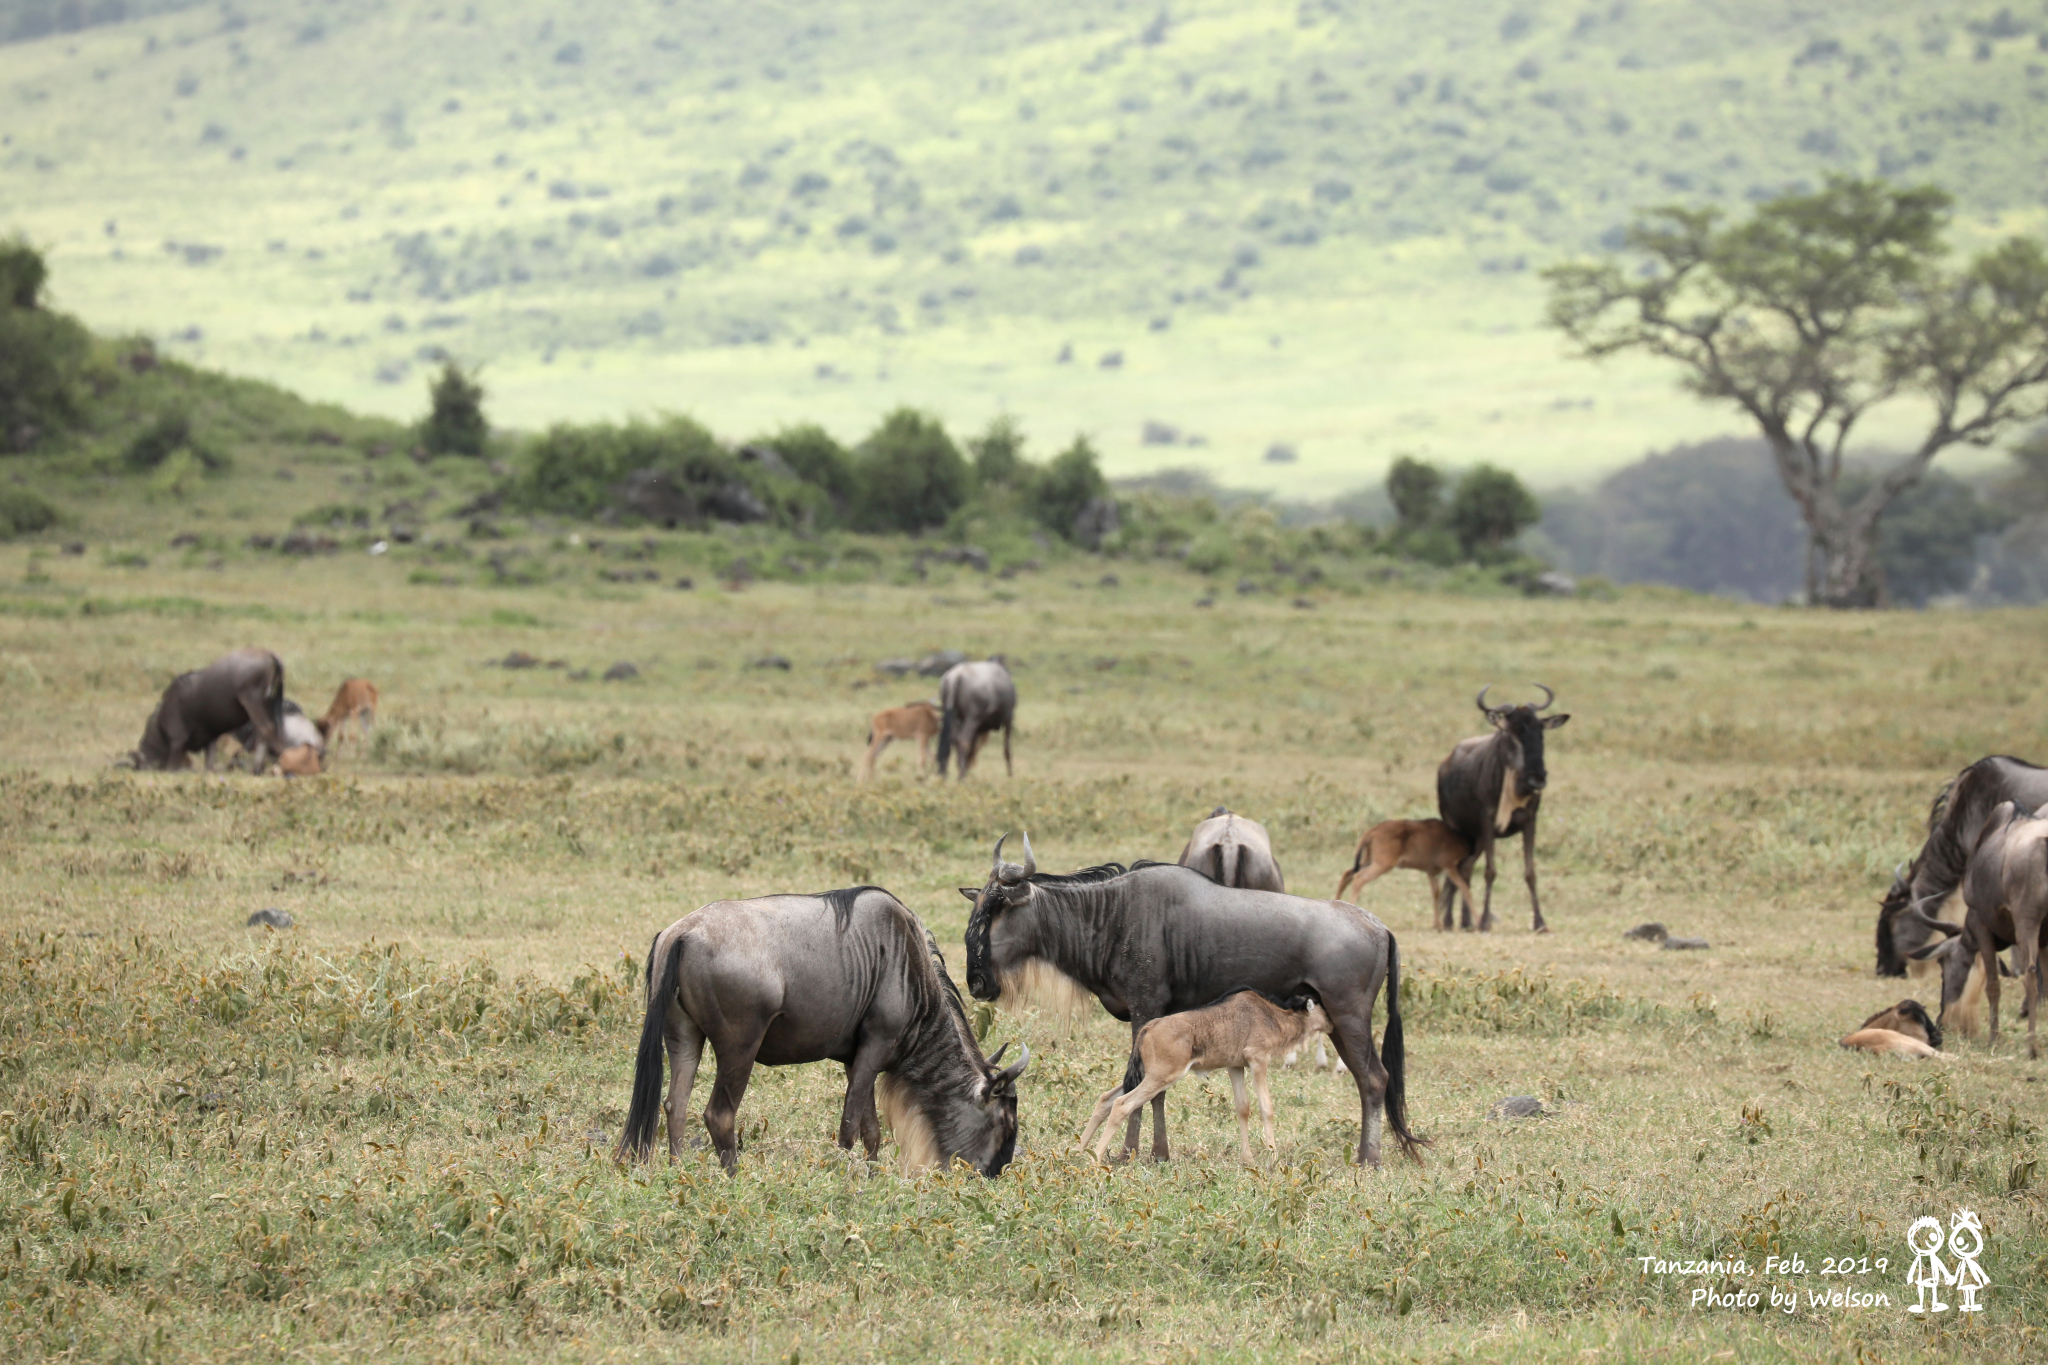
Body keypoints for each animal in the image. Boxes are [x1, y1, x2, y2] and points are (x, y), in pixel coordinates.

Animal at [1081, 986, 1335, 1170]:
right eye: (1323, 1007)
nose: (1333, 1025)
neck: (1271, 1015)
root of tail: (1149, 1027)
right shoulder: (1258, 1060)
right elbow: (1266, 1108)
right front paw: (1273, 1159)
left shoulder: (1235, 1066)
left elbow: (1243, 1108)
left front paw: (1248, 1160)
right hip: (1162, 1077)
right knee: (1122, 1104)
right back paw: (1094, 1160)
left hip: (1144, 1076)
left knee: (1106, 1099)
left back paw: (1079, 1150)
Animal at [1335, 822, 1482, 929]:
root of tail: (1372, 831)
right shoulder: (1449, 866)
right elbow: (1465, 889)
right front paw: (1478, 921)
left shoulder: (1431, 872)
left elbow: (1436, 892)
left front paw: (1437, 924)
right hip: (1382, 864)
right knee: (1359, 878)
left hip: (1369, 860)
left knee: (1347, 874)